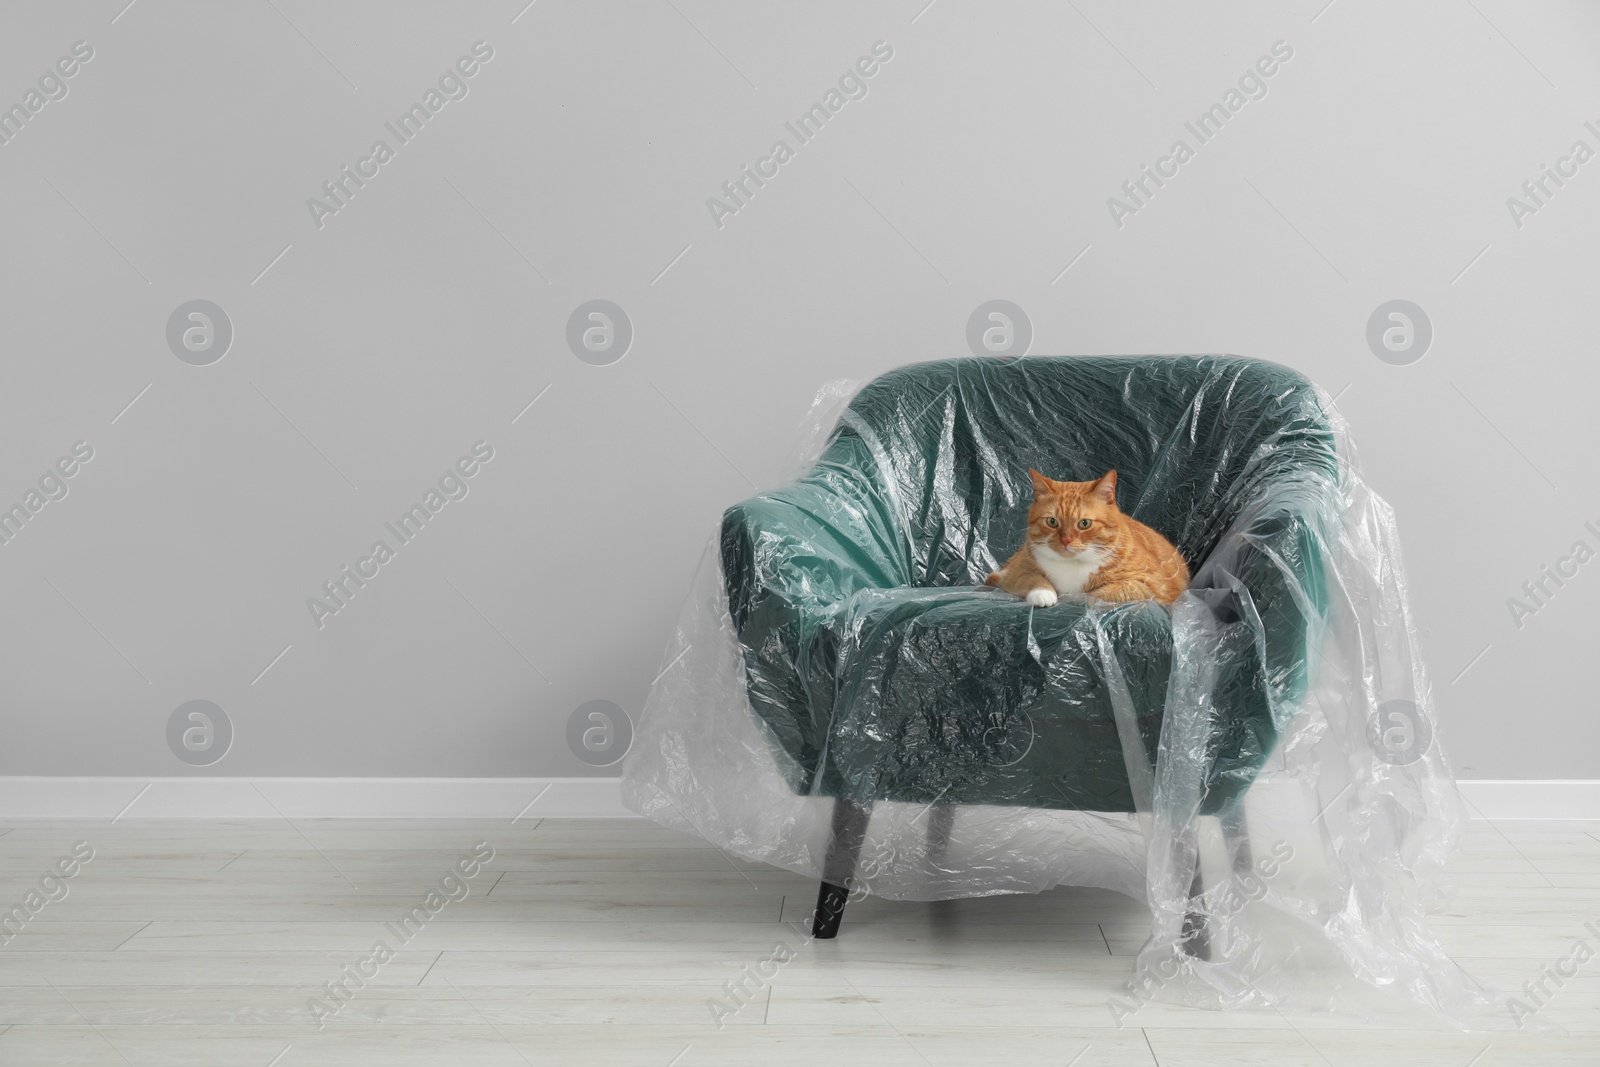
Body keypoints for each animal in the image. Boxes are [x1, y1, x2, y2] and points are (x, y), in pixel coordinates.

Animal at [979, 470, 1196, 607]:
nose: (1066, 540)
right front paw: (1044, 592)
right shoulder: (1019, 571)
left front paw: (1077, 598)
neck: (1072, 565)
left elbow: (1105, 592)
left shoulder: (1153, 586)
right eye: (1052, 521)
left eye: (1084, 523)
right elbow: (1032, 578)